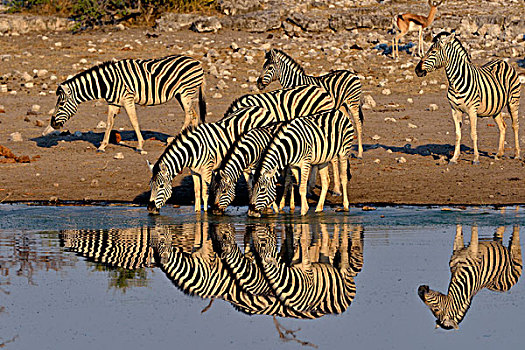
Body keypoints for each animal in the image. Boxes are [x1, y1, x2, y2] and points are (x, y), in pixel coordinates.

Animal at [42, 54, 206, 153]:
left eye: (61, 104)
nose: (53, 124)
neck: (108, 83)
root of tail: (197, 62)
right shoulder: (113, 103)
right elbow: (109, 123)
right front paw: (102, 146)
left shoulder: (128, 99)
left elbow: (134, 121)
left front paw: (140, 145)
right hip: (181, 95)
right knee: (193, 115)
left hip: (186, 93)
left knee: (188, 115)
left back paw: (175, 139)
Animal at [147, 85, 336, 216]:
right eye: (151, 186)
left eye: (161, 186)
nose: (149, 208)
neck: (193, 149)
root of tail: (262, 109)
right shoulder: (194, 171)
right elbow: (197, 191)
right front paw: (197, 213)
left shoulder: (207, 169)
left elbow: (205, 192)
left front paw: (206, 214)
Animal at [414, 31, 520, 164]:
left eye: (433, 52)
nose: (417, 70)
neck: (456, 82)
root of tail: (502, 61)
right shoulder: (455, 110)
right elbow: (457, 134)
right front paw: (454, 158)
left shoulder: (472, 110)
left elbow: (473, 134)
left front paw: (475, 159)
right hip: (496, 108)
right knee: (502, 127)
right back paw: (499, 154)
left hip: (513, 101)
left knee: (515, 125)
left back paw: (516, 154)